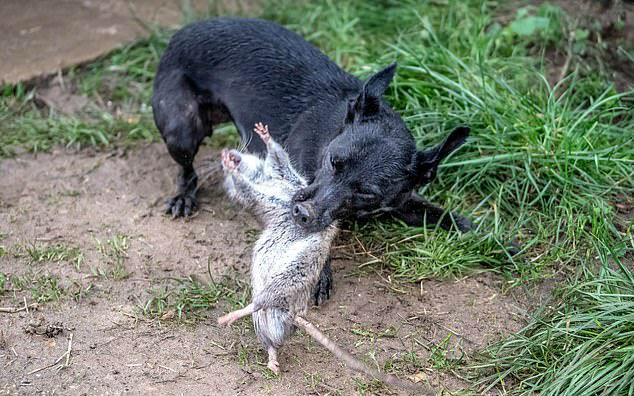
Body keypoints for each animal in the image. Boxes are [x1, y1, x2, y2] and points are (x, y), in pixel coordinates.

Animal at [152, 17, 470, 304]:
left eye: (367, 193)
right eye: (332, 161)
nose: (302, 211)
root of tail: (183, 31)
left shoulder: (402, 201)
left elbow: (443, 215)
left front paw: (471, 230)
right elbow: (311, 242)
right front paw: (318, 275)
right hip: (182, 130)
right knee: (186, 168)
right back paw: (184, 196)